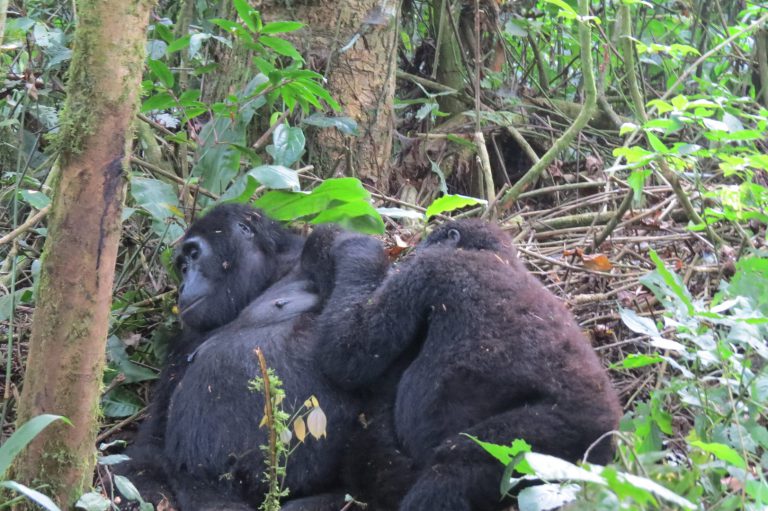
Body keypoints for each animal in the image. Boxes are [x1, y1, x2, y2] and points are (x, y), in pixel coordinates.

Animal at [118, 205, 358, 511]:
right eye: (182, 267)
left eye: (194, 255)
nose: (182, 286)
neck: (268, 276)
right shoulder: (186, 338)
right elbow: (148, 448)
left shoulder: (325, 241)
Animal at [316, 220, 620, 511]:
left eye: (427, 244)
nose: (414, 250)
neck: (494, 254)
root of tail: (605, 434)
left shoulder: (427, 269)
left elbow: (348, 352)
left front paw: (354, 246)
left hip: (537, 437)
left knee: (455, 464)